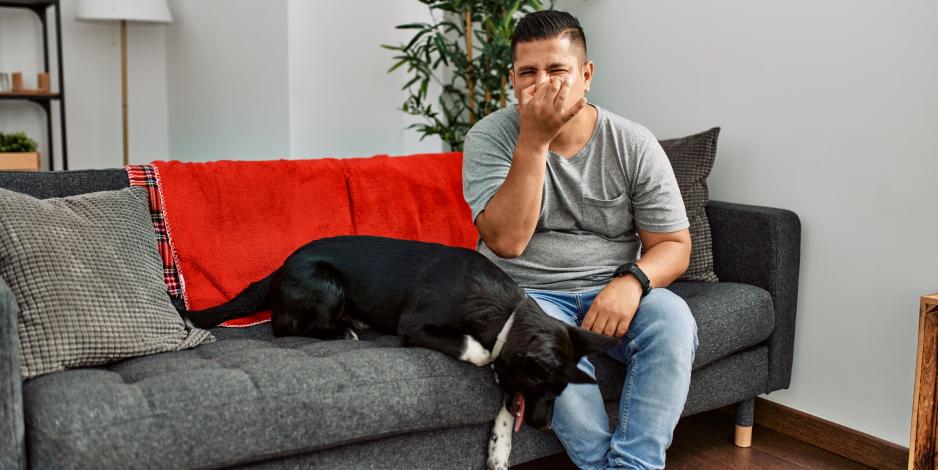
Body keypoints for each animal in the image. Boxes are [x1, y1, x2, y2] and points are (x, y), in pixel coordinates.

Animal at [176, 237, 616, 468]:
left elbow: (507, 400)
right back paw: (344, 330)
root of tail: (280, 268)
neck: (503, 309)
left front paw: (500, 448)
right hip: (327, 285)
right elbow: (479, 352)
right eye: (546, 389)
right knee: (282, 327)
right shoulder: (417, 326)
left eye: (558, 394)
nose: (544, 426)